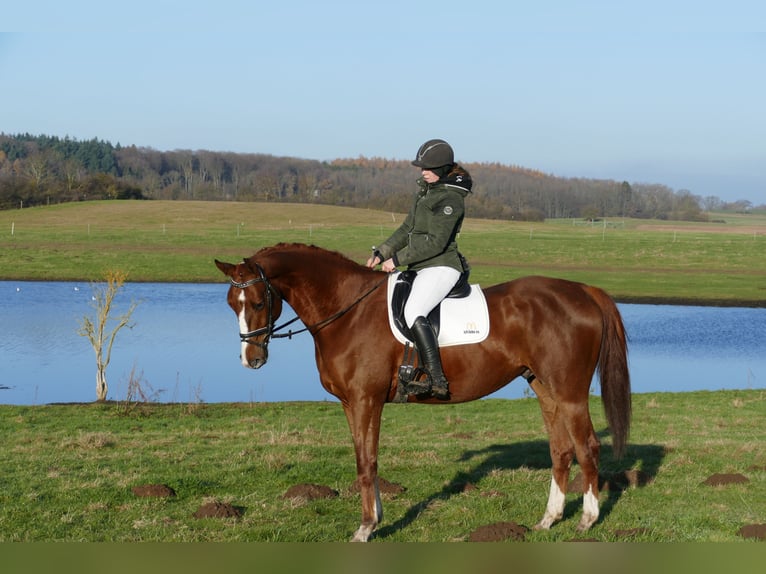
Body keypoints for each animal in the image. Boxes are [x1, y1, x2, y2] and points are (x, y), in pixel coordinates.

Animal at [215, 242, 631, 542]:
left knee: (587, 446)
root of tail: (583, 291)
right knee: (560, 449)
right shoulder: (351, 404)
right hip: (545, 389)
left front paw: (365, 528)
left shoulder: (366, 401)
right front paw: (375, 520)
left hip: (570, 393)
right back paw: (548, 520)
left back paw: (586, 521)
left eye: (258, 302)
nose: (251, 360)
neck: (348, 312)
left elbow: (367, 462)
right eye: (231, 304)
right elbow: (365, 459)